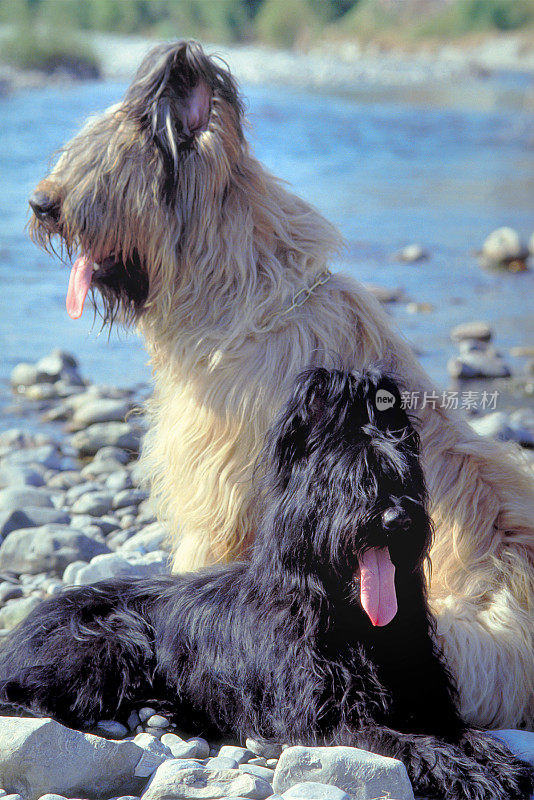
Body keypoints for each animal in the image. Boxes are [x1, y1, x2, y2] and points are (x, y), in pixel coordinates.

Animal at [0, 370, 532, 800]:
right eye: (352, 481)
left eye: (403, 477)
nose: (399, 520)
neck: (351, 619)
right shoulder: (329, 720)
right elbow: (405, 741)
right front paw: (465, 772)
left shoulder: (426, 698)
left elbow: (466, 733)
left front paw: (500, 763)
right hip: (112, 639)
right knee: (25, 693)